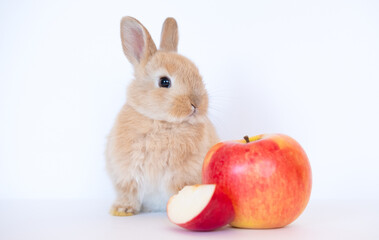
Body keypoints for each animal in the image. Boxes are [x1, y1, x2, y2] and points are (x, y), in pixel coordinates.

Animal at [106, 16, 220, 216]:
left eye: (197, 73)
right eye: (164, 82)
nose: (196, 104)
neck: (161, 122)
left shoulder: (182, 176)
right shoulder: (126, 173)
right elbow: (129, 192)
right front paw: (122, 209)